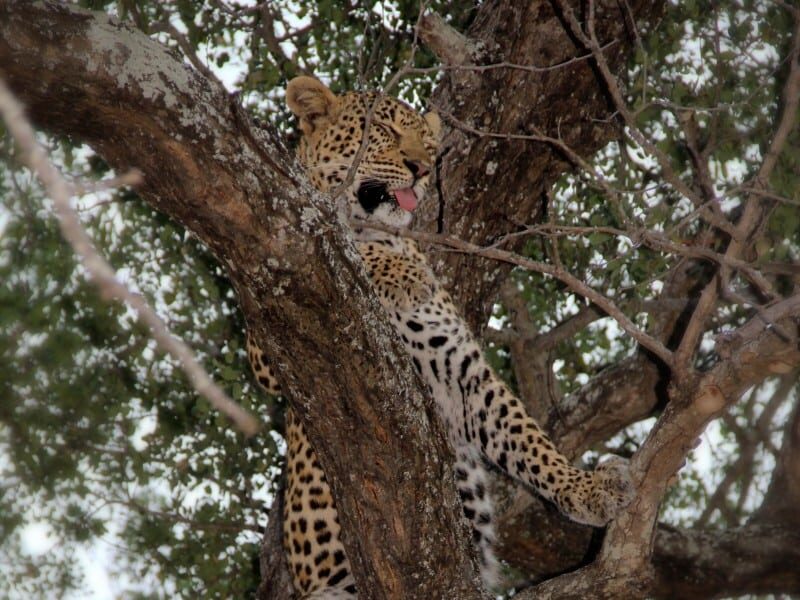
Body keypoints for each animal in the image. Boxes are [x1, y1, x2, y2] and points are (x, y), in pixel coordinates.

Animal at [247, 76, 635, 598]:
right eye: (383, 130)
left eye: (429, 144)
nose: (423, 168)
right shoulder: (265, 339)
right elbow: (337, 235)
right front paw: (400, 271)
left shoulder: (464, 372)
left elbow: (530, 440)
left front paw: (585, 487)